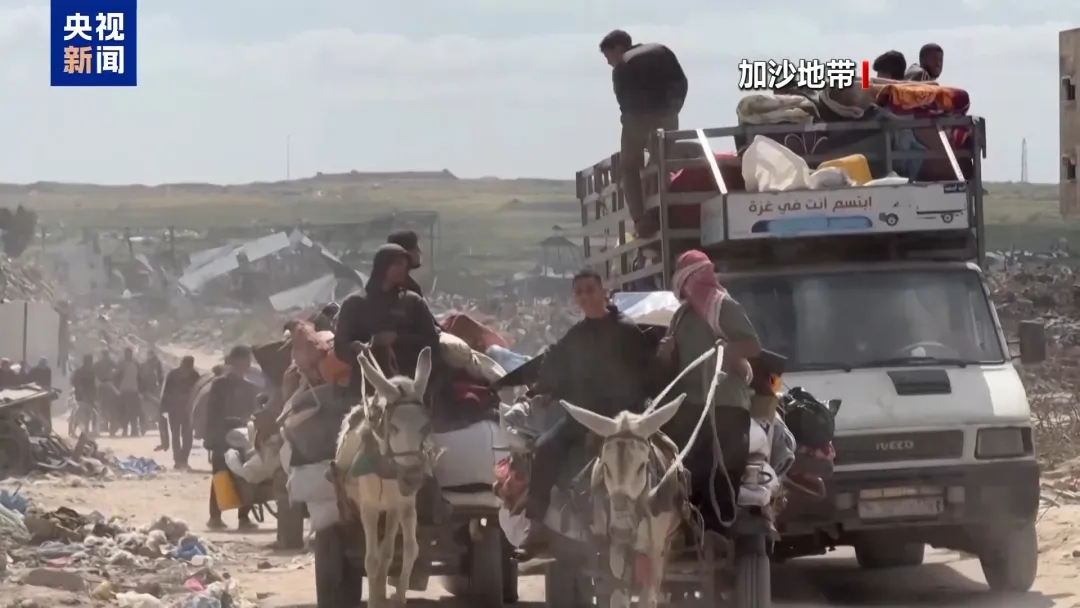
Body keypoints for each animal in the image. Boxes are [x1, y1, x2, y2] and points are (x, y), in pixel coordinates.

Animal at [333, 346, 438, 608]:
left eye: (426, 426)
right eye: (393, 427)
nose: (412, 479)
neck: (389, 470)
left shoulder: (405, 506)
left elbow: (409, 549)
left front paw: (399, 598)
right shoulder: (368, 509)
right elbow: (370, 559)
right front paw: (373, 600)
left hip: (391, 511)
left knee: (387, 549)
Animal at [559, 394, 688, 608]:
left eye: (642, 466)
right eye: (605, 466)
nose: (622, 531)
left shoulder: (655, 549)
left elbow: (648, 596)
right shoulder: (615, 549)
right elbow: (618, 595)